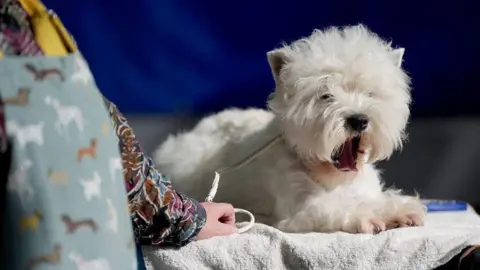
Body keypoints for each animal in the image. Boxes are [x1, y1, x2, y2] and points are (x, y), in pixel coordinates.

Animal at [156, 24, 426, 233]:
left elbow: (376, 199)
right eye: (326, 95)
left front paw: (401, 210)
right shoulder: (301, 207)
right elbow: (338, 207)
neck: (331, 176)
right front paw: (369, 216)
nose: (359, 120)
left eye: (370, 93)